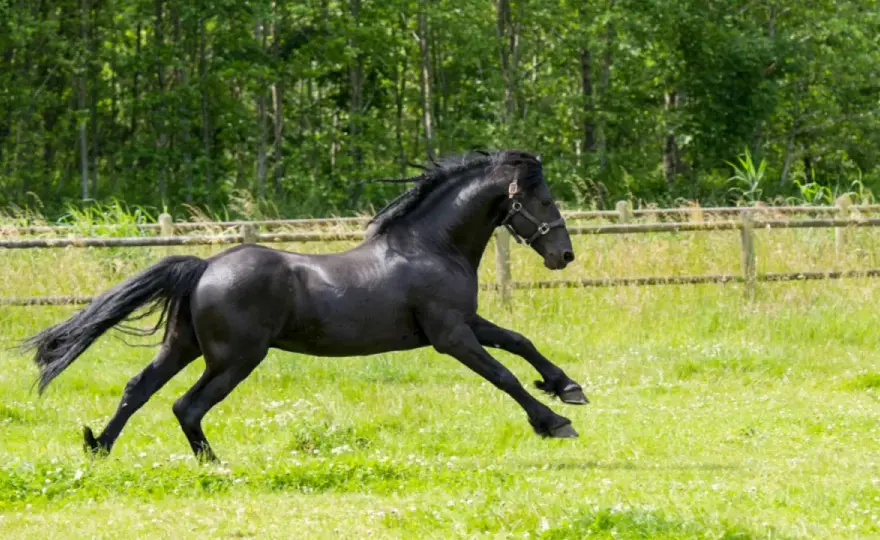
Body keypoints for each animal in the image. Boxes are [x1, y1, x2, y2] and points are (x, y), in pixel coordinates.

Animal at [22, 149, 589, 462]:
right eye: (543, 201)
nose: (564, 255)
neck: (431, 247)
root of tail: (205, 268)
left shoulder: (464, 322)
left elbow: (520, 342)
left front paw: (568, 389)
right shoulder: (450, 336)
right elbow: (503, 374)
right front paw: (553, 422)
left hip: (184, 346)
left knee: (137, 388)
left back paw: (99, 447)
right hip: (235, 359)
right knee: (187, 405)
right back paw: (216, 465)